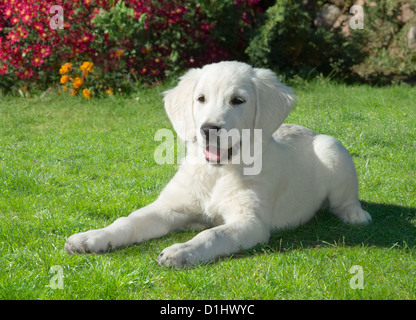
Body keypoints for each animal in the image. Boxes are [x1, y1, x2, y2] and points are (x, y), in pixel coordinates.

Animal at [65, 61, 370, 266]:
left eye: (238, 100)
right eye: (201, 99)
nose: (208, 129)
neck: (217, 173)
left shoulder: (250, 222)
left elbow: (213, 235)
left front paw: (181, 251)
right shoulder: (170, 207)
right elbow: (128, 221)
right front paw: (92, 237)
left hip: (332, 148)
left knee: (345, 200)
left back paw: (356, 215)